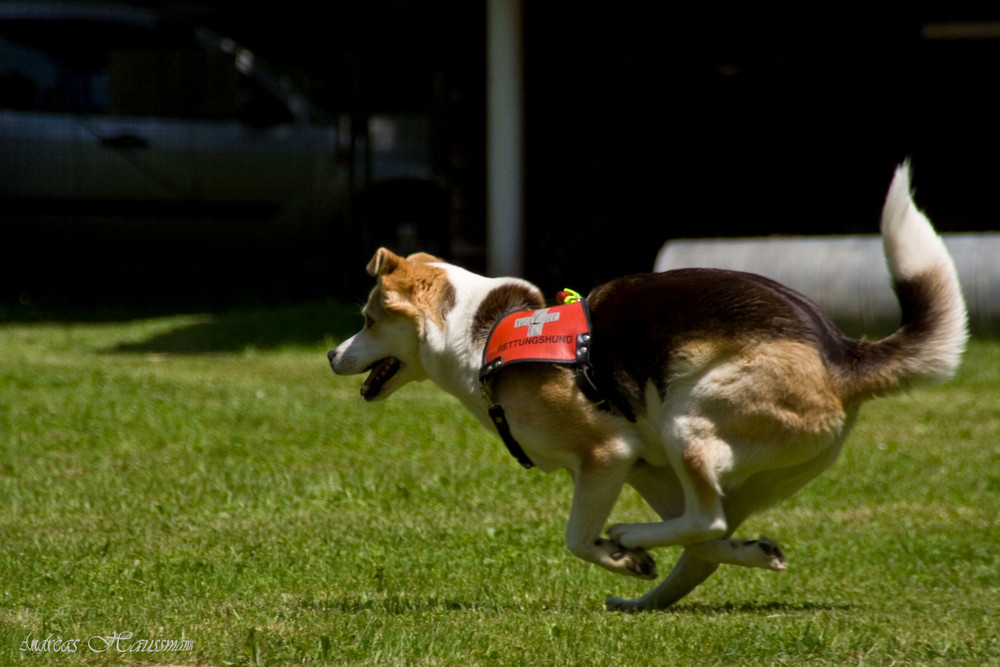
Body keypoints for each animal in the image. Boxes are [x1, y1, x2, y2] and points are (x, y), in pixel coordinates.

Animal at [328, 164, 968, 612]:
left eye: (367, 319)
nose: (331, 355)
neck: (480, 331)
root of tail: (841, 355)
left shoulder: (605, 455)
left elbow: (576, 537)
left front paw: (618, 552)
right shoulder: (635, 462)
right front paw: (634, 563)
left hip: (688, 421)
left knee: (706, 523)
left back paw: (632, 538)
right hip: (692, 458)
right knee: (707, 540)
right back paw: (659, 590)